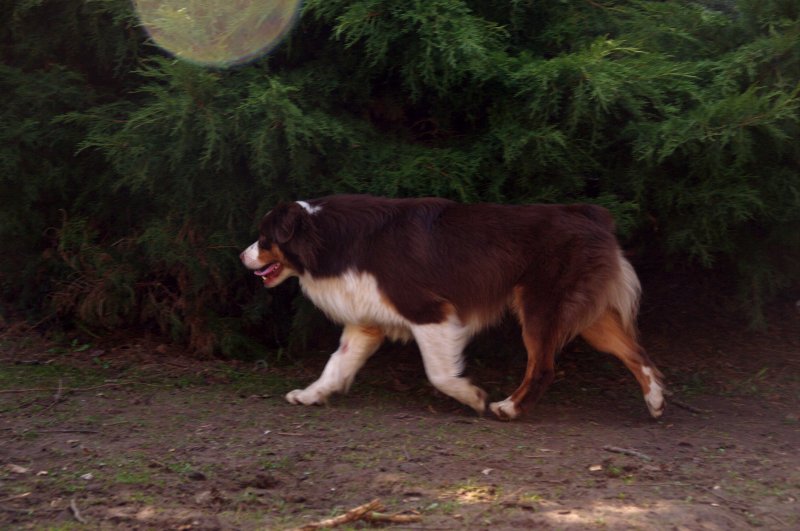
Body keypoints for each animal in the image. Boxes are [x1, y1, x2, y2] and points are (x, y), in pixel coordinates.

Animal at [241, 193, 664, 422]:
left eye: (264, 238)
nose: (241, 256)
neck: (328, 237)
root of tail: (592, 214)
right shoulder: (366, 323)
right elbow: (335, 365)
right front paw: (310, 394)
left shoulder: (429, 312)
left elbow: (439, 373)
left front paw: (472, 396)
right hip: (589, 316)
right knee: (638, 353)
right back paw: (656, 400)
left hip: (539, 306)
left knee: (542, 367)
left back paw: (509, 408)